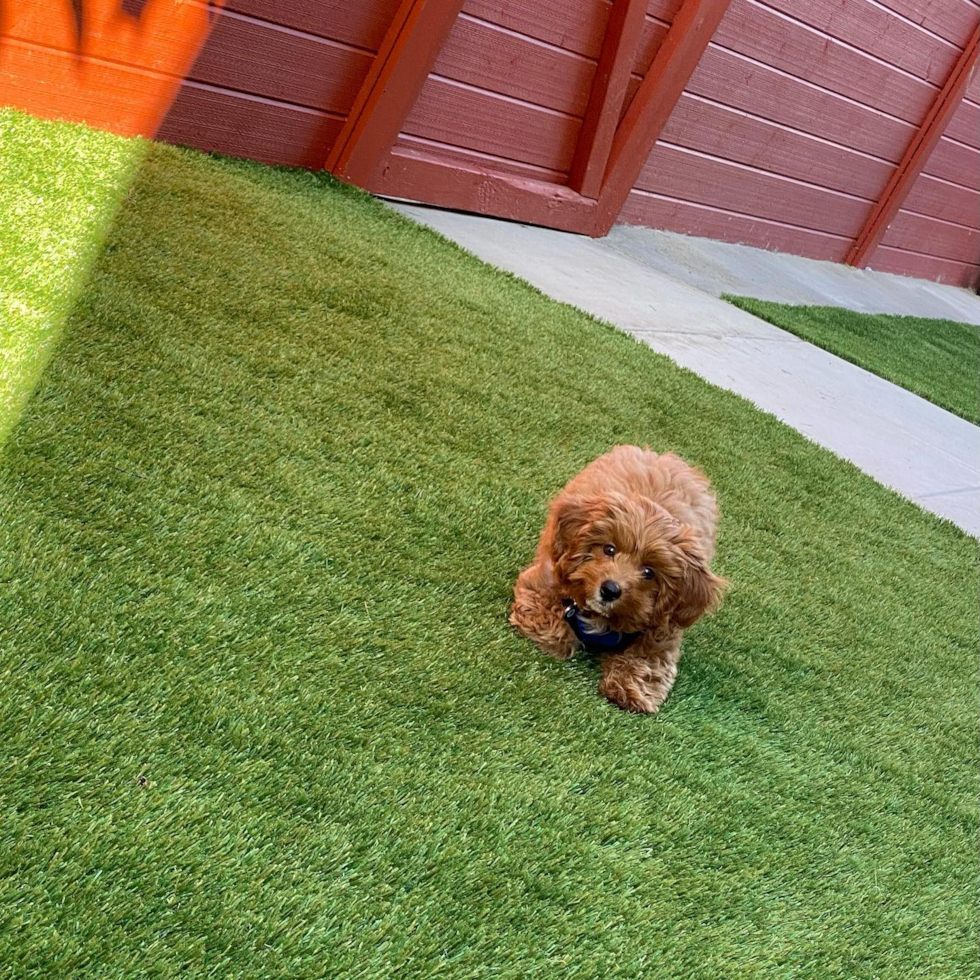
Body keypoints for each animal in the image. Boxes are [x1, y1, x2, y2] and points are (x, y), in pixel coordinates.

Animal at [510, 444, 724, 712]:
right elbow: (553, 629)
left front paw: (629, 688)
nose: (610, 590)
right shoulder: (542, 582)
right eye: (609, 549)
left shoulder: (664, 631)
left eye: (649, 572)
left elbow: (648, 660)